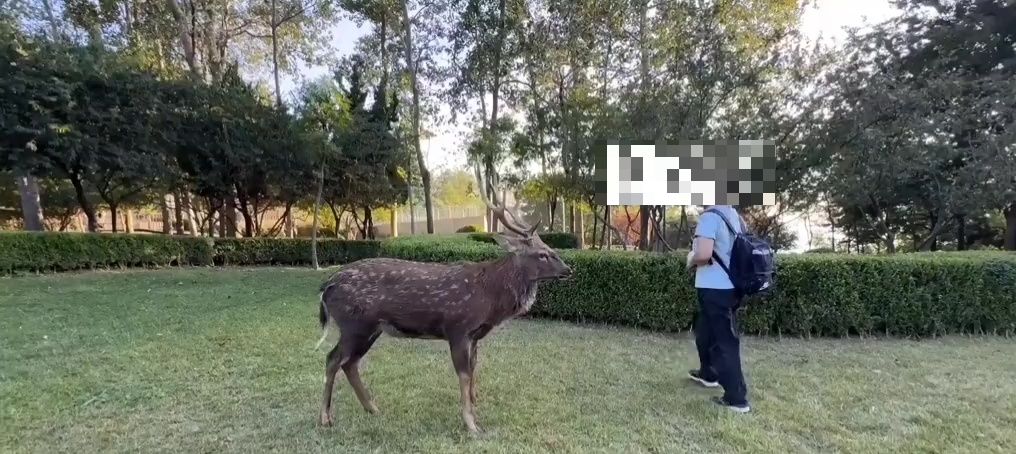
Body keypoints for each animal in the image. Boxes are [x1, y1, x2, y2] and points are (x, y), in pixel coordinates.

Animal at [314, 164, 574, 435]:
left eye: (550, 248)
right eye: (542, 254)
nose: (569, 270)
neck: (489, 299)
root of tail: (327, 286)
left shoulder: (474, 336)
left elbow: (473, 373)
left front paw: (474, 412)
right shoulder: (457, 328)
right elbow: (464, 376)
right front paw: (472, 426)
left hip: (370, 328)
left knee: (350, 363)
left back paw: (372, 408)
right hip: (353, 324)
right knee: (333, 359)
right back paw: (325, 418)